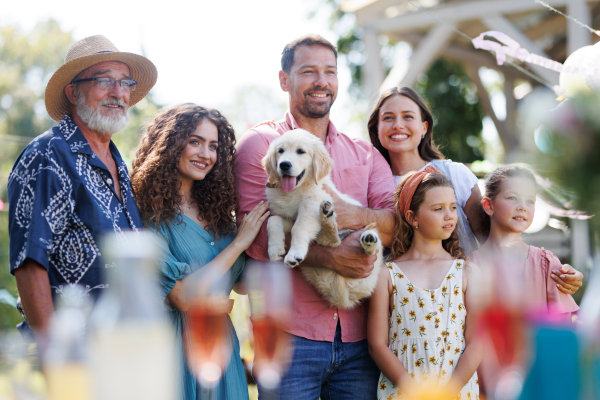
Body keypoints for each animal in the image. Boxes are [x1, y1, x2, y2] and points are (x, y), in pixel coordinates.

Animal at [262, 129, 382, 310]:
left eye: (300, 151)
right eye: (280, 151)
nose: (284, 165)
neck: (293, 191)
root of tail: (345, 298)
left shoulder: (311, 203)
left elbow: (299, 228)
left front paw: (294, 253)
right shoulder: (288, 216)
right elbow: (274, 220)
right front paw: (275, 249)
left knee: (365, 247)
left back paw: (367, 238)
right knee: (331, 242)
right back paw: (328, 219)